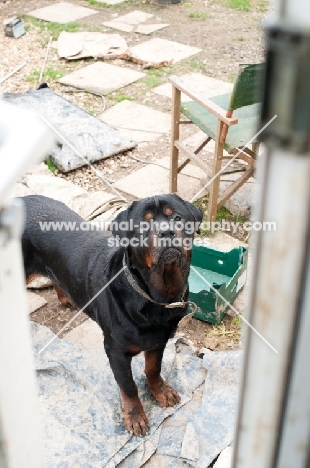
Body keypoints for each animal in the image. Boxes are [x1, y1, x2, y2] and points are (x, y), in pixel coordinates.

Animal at [20, 193, 202, 436]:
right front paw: (135, 416)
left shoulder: (159, 340)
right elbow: (128, 385)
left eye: (178, 218)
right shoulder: (115, 350)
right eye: (143, 225)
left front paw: (160, 391)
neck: (156, 296)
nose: (166, 232)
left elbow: (153, 368)